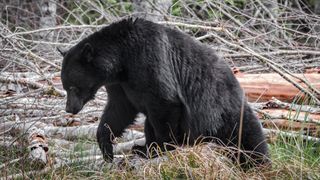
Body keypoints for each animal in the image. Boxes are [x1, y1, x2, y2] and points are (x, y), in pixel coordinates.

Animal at [60, 17, 270, 166]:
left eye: (72, 87)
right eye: (65, 86)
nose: (69, 109)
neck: (122, 60)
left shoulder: (149, 60)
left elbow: (165, 103)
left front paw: (161, 148)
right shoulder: (120, 85)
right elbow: (118, 110)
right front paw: (106, 147)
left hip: (226, 113)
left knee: (251, 140)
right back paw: (140, 148)